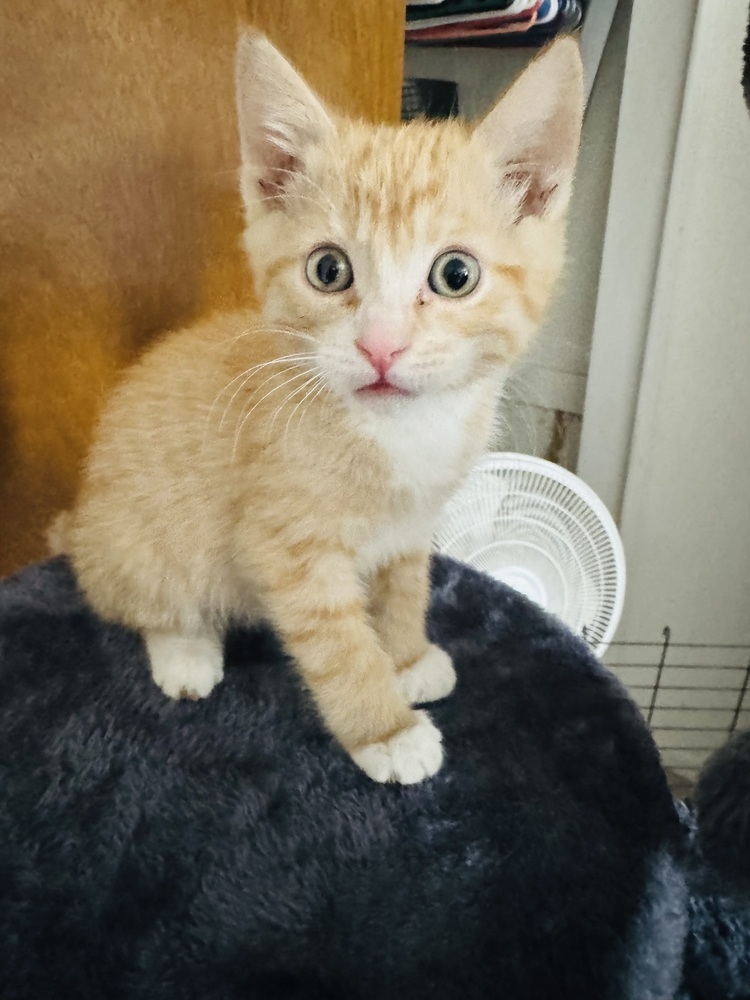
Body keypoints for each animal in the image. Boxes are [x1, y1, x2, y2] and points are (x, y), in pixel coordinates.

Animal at [60, 35, 588, 780]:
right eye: (328, 270)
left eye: (456, 275)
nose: (381, 347)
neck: (401, 434)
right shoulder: (285, 546)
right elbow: (339, 646)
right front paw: (386, 728)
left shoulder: (414, 524)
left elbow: (405, 587)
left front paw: (406, 656)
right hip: (139, 544)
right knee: (147, 602)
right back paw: (186, 651)